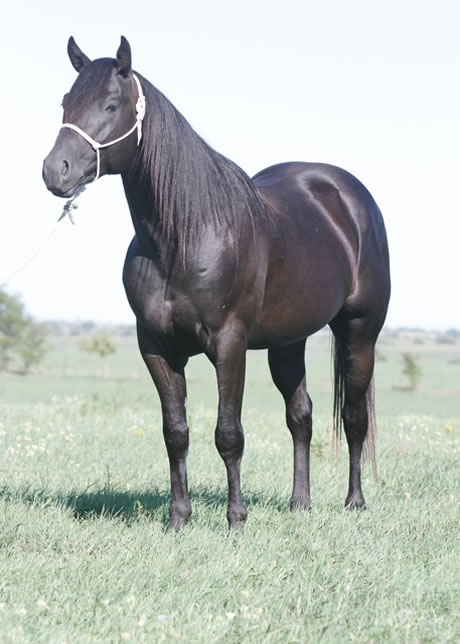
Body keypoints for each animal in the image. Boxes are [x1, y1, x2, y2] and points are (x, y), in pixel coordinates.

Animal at [43, 37, 390, 531]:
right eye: (65, 102)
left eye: (110, 105)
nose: (56, 171)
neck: (185, 236)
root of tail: (348, 195)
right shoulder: (156, 347)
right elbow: (176, 433)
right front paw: (178, 519)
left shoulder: (229, 344)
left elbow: (229, 434)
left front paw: (236, 520)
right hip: (288, 342)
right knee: (300, 416)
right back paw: (299, 503)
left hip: (359, 331)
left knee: (355, 417)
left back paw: (355, 502)